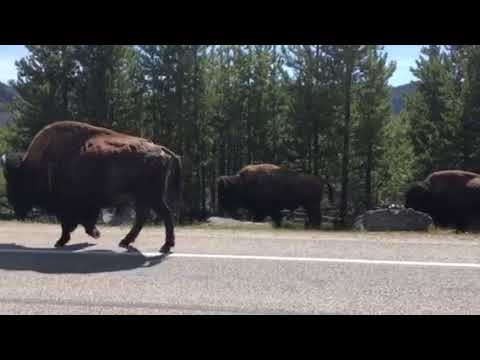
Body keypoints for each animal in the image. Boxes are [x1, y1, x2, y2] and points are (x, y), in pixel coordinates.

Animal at [0, 121, 181, 253]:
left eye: (15, 180)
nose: (15, 206)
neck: (41, 165)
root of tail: (161, 149)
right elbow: (80, 223)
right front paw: (93, 235)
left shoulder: (69, 206)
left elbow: (70, 224)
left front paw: (63, 241)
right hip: (143, 198)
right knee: (143, 218)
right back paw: (125, 242)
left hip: (151, 196)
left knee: (165, 215)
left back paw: (165, 246)